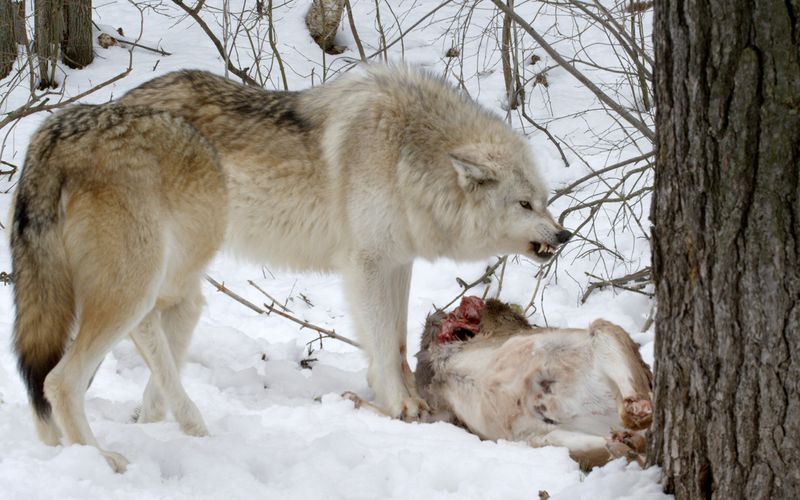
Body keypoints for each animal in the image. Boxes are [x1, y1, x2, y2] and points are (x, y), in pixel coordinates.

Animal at [11, 103, 228, 470]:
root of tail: (54, 144)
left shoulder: (153, 310)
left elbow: (163, 370)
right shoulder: (184, 300)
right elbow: (169, 370)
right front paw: (196, 431)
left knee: (41, 390)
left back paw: (58, 450)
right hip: (128, 298)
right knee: (59, 382)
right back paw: (101, 457)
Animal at [120, 63, 568, 422]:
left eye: (544, 201)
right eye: (524, 204)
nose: (564, 235)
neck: (408, 158)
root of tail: (121, 99)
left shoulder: (398, 262)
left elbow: (397, 340)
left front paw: (407, 389)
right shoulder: (365, 266)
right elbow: (382, 342)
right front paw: (400, 403)